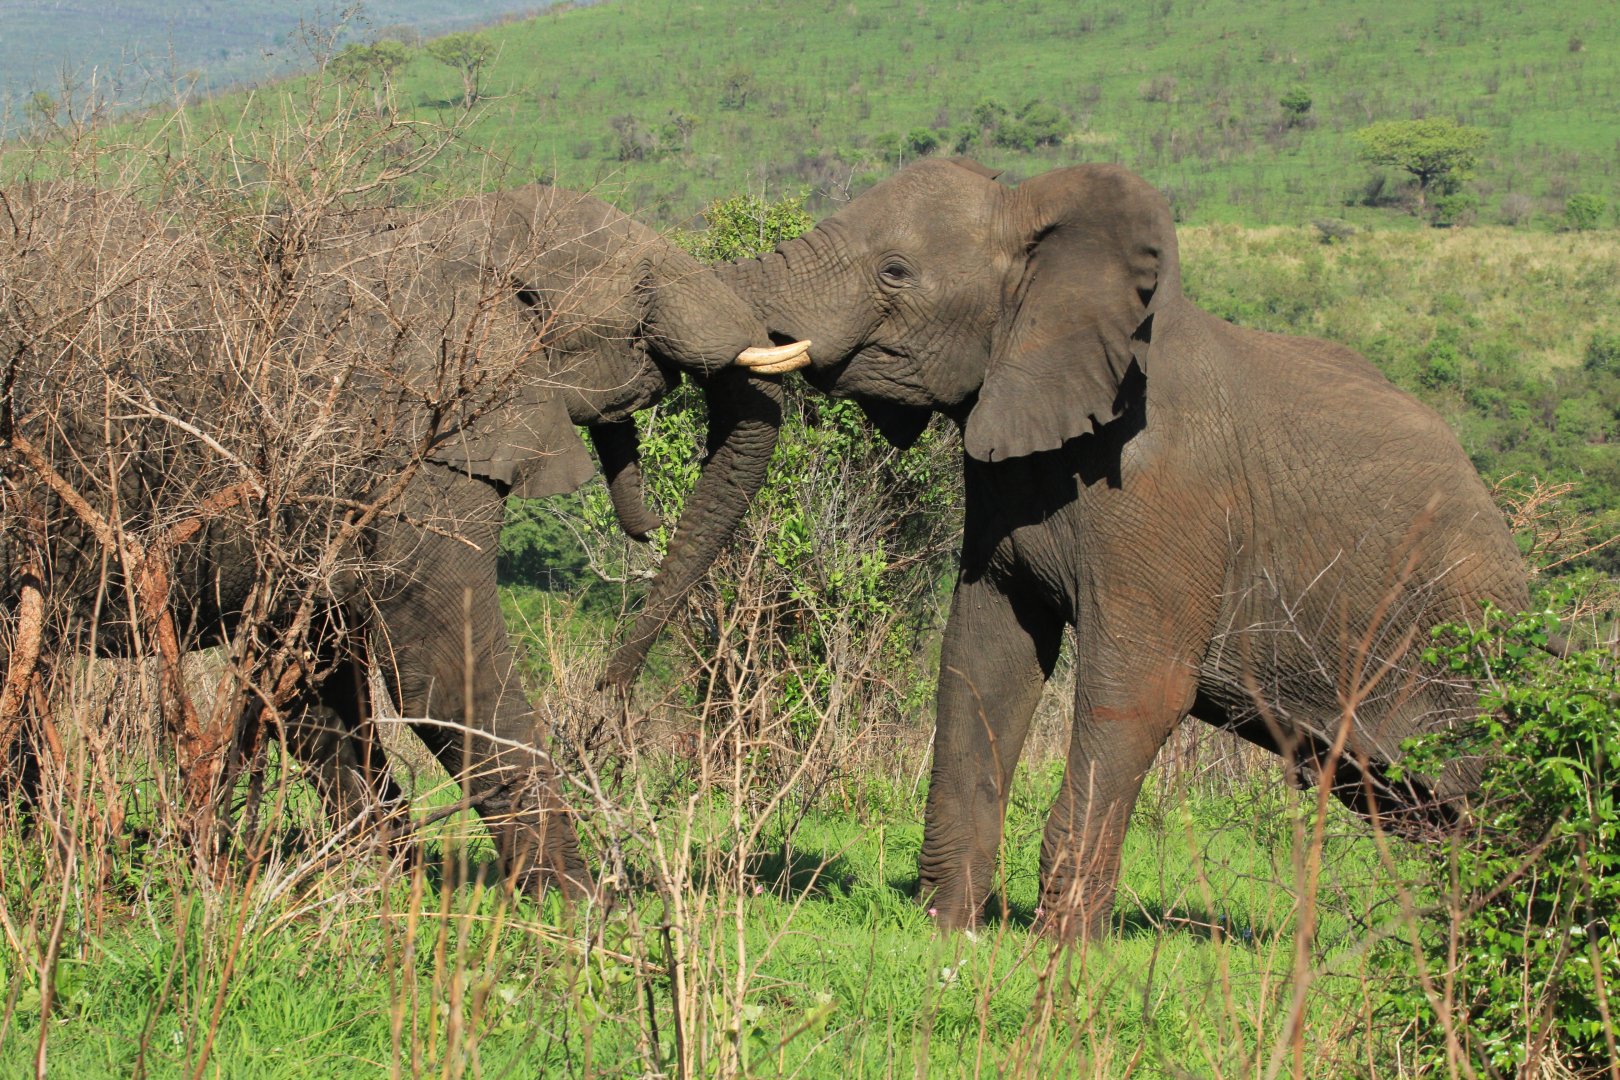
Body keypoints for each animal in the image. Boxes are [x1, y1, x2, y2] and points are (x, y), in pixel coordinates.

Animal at [0, 183, 806, 895]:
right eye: (643, 284)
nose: (611, 688)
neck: (456, 238)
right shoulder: (407, 452)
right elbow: (436, 666)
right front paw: (585, 910)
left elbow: (317, 680)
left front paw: (392, 888)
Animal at [726, 158, 1528, 938]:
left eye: (895, 271)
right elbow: (984, 659)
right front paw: (947, 934)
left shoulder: (1167, 493)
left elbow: (1138, 692)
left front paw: (1059, 955)